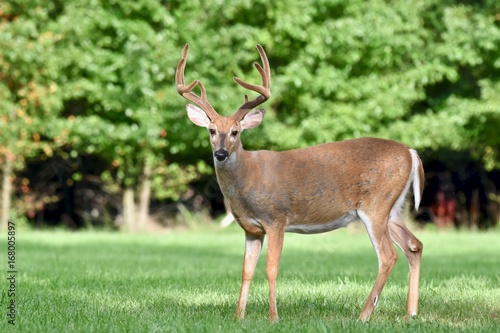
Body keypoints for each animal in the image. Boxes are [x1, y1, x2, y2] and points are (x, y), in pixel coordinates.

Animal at [174, 42, 424, 320]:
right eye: (211, 130)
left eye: (235, 132)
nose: (220, 154)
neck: (247, 180)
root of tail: (411, 153)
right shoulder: (251, 229)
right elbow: (246, 271)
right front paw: (239, 316)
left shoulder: (276, 219)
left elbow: (271, 268)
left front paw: (273, 317)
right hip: (393, 208)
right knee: (414, 245)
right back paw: (410, 314)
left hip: (376, 205)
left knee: (388, 256)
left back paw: (364, 315)